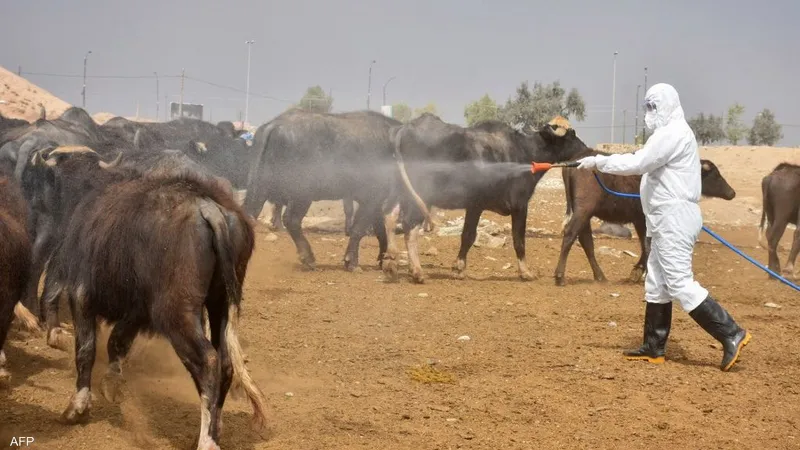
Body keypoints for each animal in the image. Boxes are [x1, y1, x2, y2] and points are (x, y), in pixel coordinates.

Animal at [28, 147, 268, 446]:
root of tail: (208, 207)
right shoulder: (137, 311)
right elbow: (117, 342)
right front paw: (111, 384)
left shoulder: (81, 295)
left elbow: (86, 349)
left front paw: (77, 407)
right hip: (220, 304)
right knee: (225, 363)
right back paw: (217, 426)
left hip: (176, 314)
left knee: (208, 362)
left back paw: (207, 440)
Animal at [245, 109, 400, 272]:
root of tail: (276, 124)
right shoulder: (371, 198)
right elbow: (359, 229)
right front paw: (352, 262)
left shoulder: (376, 201)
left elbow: (380, 230)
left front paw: (383, 260)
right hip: (302, 194)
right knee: (291, 220)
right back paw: (308, 258)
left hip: (259, 187)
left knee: (250, 214)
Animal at [382, 114, 588, 284]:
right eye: (571, 135)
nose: (586, 149)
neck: (524, 152)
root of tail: (404, 129)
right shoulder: (518, 205)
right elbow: (517, 239)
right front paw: (525, 272)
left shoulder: (475, 206)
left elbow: (467, 236)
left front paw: (459, 268)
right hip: (420, 196)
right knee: (409, 227)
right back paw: (416, 271)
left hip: (400, 192)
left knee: (389, 216)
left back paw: (390, 263)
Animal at [556, 149, 736, 286]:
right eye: (716, 174)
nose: (732, 193)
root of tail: (574, 162)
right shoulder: (646, 219)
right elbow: (648, 246)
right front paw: (642, 274)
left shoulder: (639, 220)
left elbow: (645, 245)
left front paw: (637, 272)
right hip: (583, 210)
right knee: (571, 234)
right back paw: (560, 276)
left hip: (584, 213)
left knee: (586, 241)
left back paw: (600, 276)